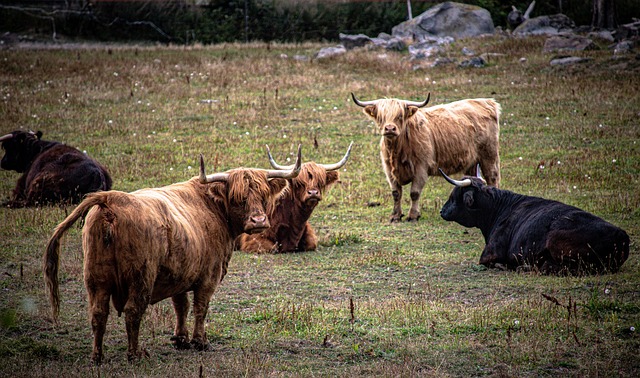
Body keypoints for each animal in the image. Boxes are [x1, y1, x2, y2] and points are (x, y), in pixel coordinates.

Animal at [44, 148, 302, 364]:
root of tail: (110, 199)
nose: (259, 221)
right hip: (140, 277)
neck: (213, 207)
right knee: (133, 311)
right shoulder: (209, 275)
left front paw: (181, 339)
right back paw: (134, 354)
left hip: (95, 278)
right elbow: (200, 307)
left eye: (263, 195)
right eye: (238, 198)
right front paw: (200, 341)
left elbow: (181, 306)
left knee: (98, 314)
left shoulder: (180, 273)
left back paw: (97, 356)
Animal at [352, 94, 502, 221]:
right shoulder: (389, 170)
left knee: (492, 177)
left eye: (400, 116)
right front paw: (395, 216)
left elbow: (414, 193)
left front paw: (413, 216)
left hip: (489, 155)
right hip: (471, 162)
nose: (389, 129)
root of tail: (487, 101)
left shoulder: (421, 168)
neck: (397, 150)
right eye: (381, 117)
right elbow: (396, 193)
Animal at [440, 168, 632, 274]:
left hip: (557, 242)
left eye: (454, 196)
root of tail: (621, 235)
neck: (498, 209)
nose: (442, 211)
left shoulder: (489, 254)